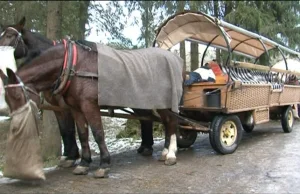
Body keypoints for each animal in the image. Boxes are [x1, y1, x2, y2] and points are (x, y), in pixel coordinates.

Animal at [0, 16, 155, 163]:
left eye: (9, 35)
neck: (68, 65)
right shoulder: (59, 106)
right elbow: (66, 130)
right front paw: (71, 156)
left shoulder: (70, 105)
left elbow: (73, 130)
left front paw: (73, 156)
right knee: (145, 118)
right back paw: (145, 146)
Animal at [0, 37, 185, 177]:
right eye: (7, 98)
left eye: (17, 96)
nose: (15, 127)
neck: (73, 65)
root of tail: (174, 58)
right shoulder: (75, 108)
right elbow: (82, 134)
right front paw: (83, 163)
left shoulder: (89, 105)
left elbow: (97, 133)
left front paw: (104, 164)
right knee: (166, 122)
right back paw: (165, 151)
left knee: (171, 122)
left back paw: (170, 154)